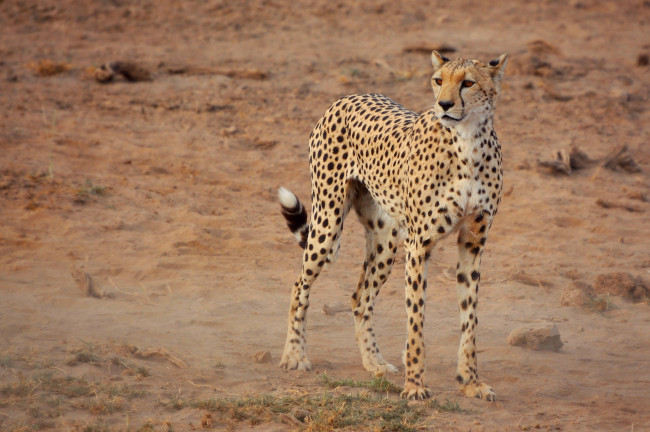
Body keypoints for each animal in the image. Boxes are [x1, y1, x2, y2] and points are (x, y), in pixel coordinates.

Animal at [276, 51, 504, 402]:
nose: (444, 104)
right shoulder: (420, 245)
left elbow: (470, 318)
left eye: (468, 82)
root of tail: (349, 96)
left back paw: (375, 362)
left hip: (386, 240)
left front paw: (470, 381)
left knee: (360, 297)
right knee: (299, 284)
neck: (468, 142)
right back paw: (295, 355)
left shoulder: (472, 242)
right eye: (438, 80)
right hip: (328, 224)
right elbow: (416, 320)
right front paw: (415, 385)